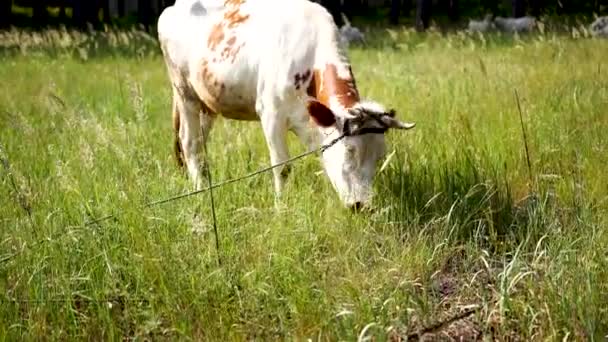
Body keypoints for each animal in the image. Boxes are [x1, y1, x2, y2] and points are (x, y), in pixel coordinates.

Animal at [157, 0, 416, 208]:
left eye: (380, 157)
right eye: (349, 151)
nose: (361, 205)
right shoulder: (271, 115)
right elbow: (282, 168)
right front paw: (281, 207)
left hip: (207, 103)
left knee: (199, 144)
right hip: (184, 92)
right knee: (190, 143)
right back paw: (200, 190)